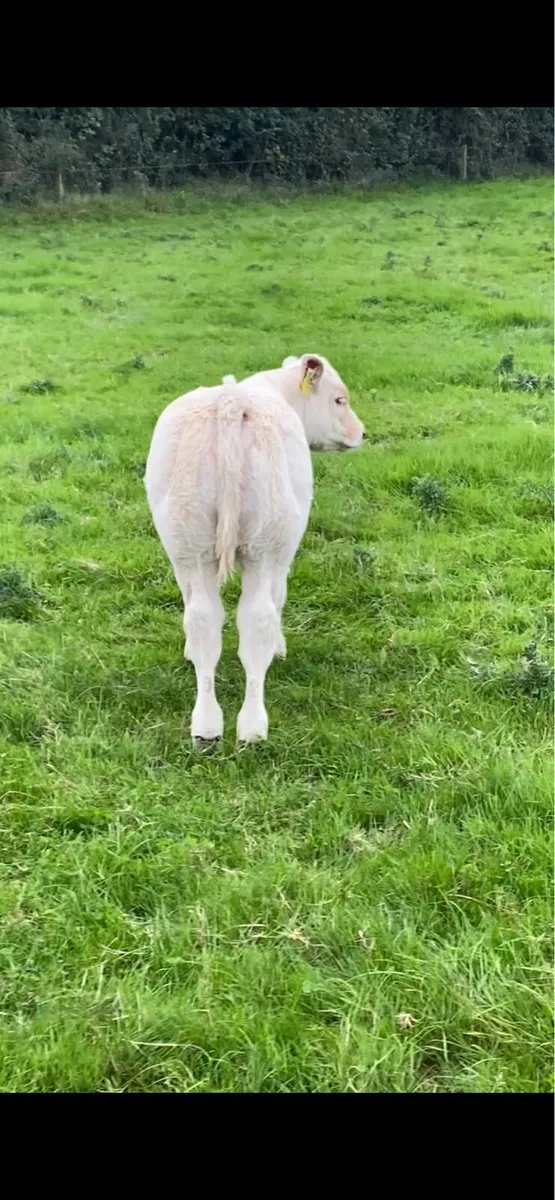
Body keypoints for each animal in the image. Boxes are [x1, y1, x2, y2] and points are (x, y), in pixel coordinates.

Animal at [145, 353, 365, 748]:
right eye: (340, 400)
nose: (362, 433)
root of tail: (232, 399)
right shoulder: (282, 556)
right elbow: (278, 601)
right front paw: (279, 647)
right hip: (268, 544)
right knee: (257, 620)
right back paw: (252, 727)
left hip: (188, 540)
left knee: (203, 620)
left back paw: (206, 726)